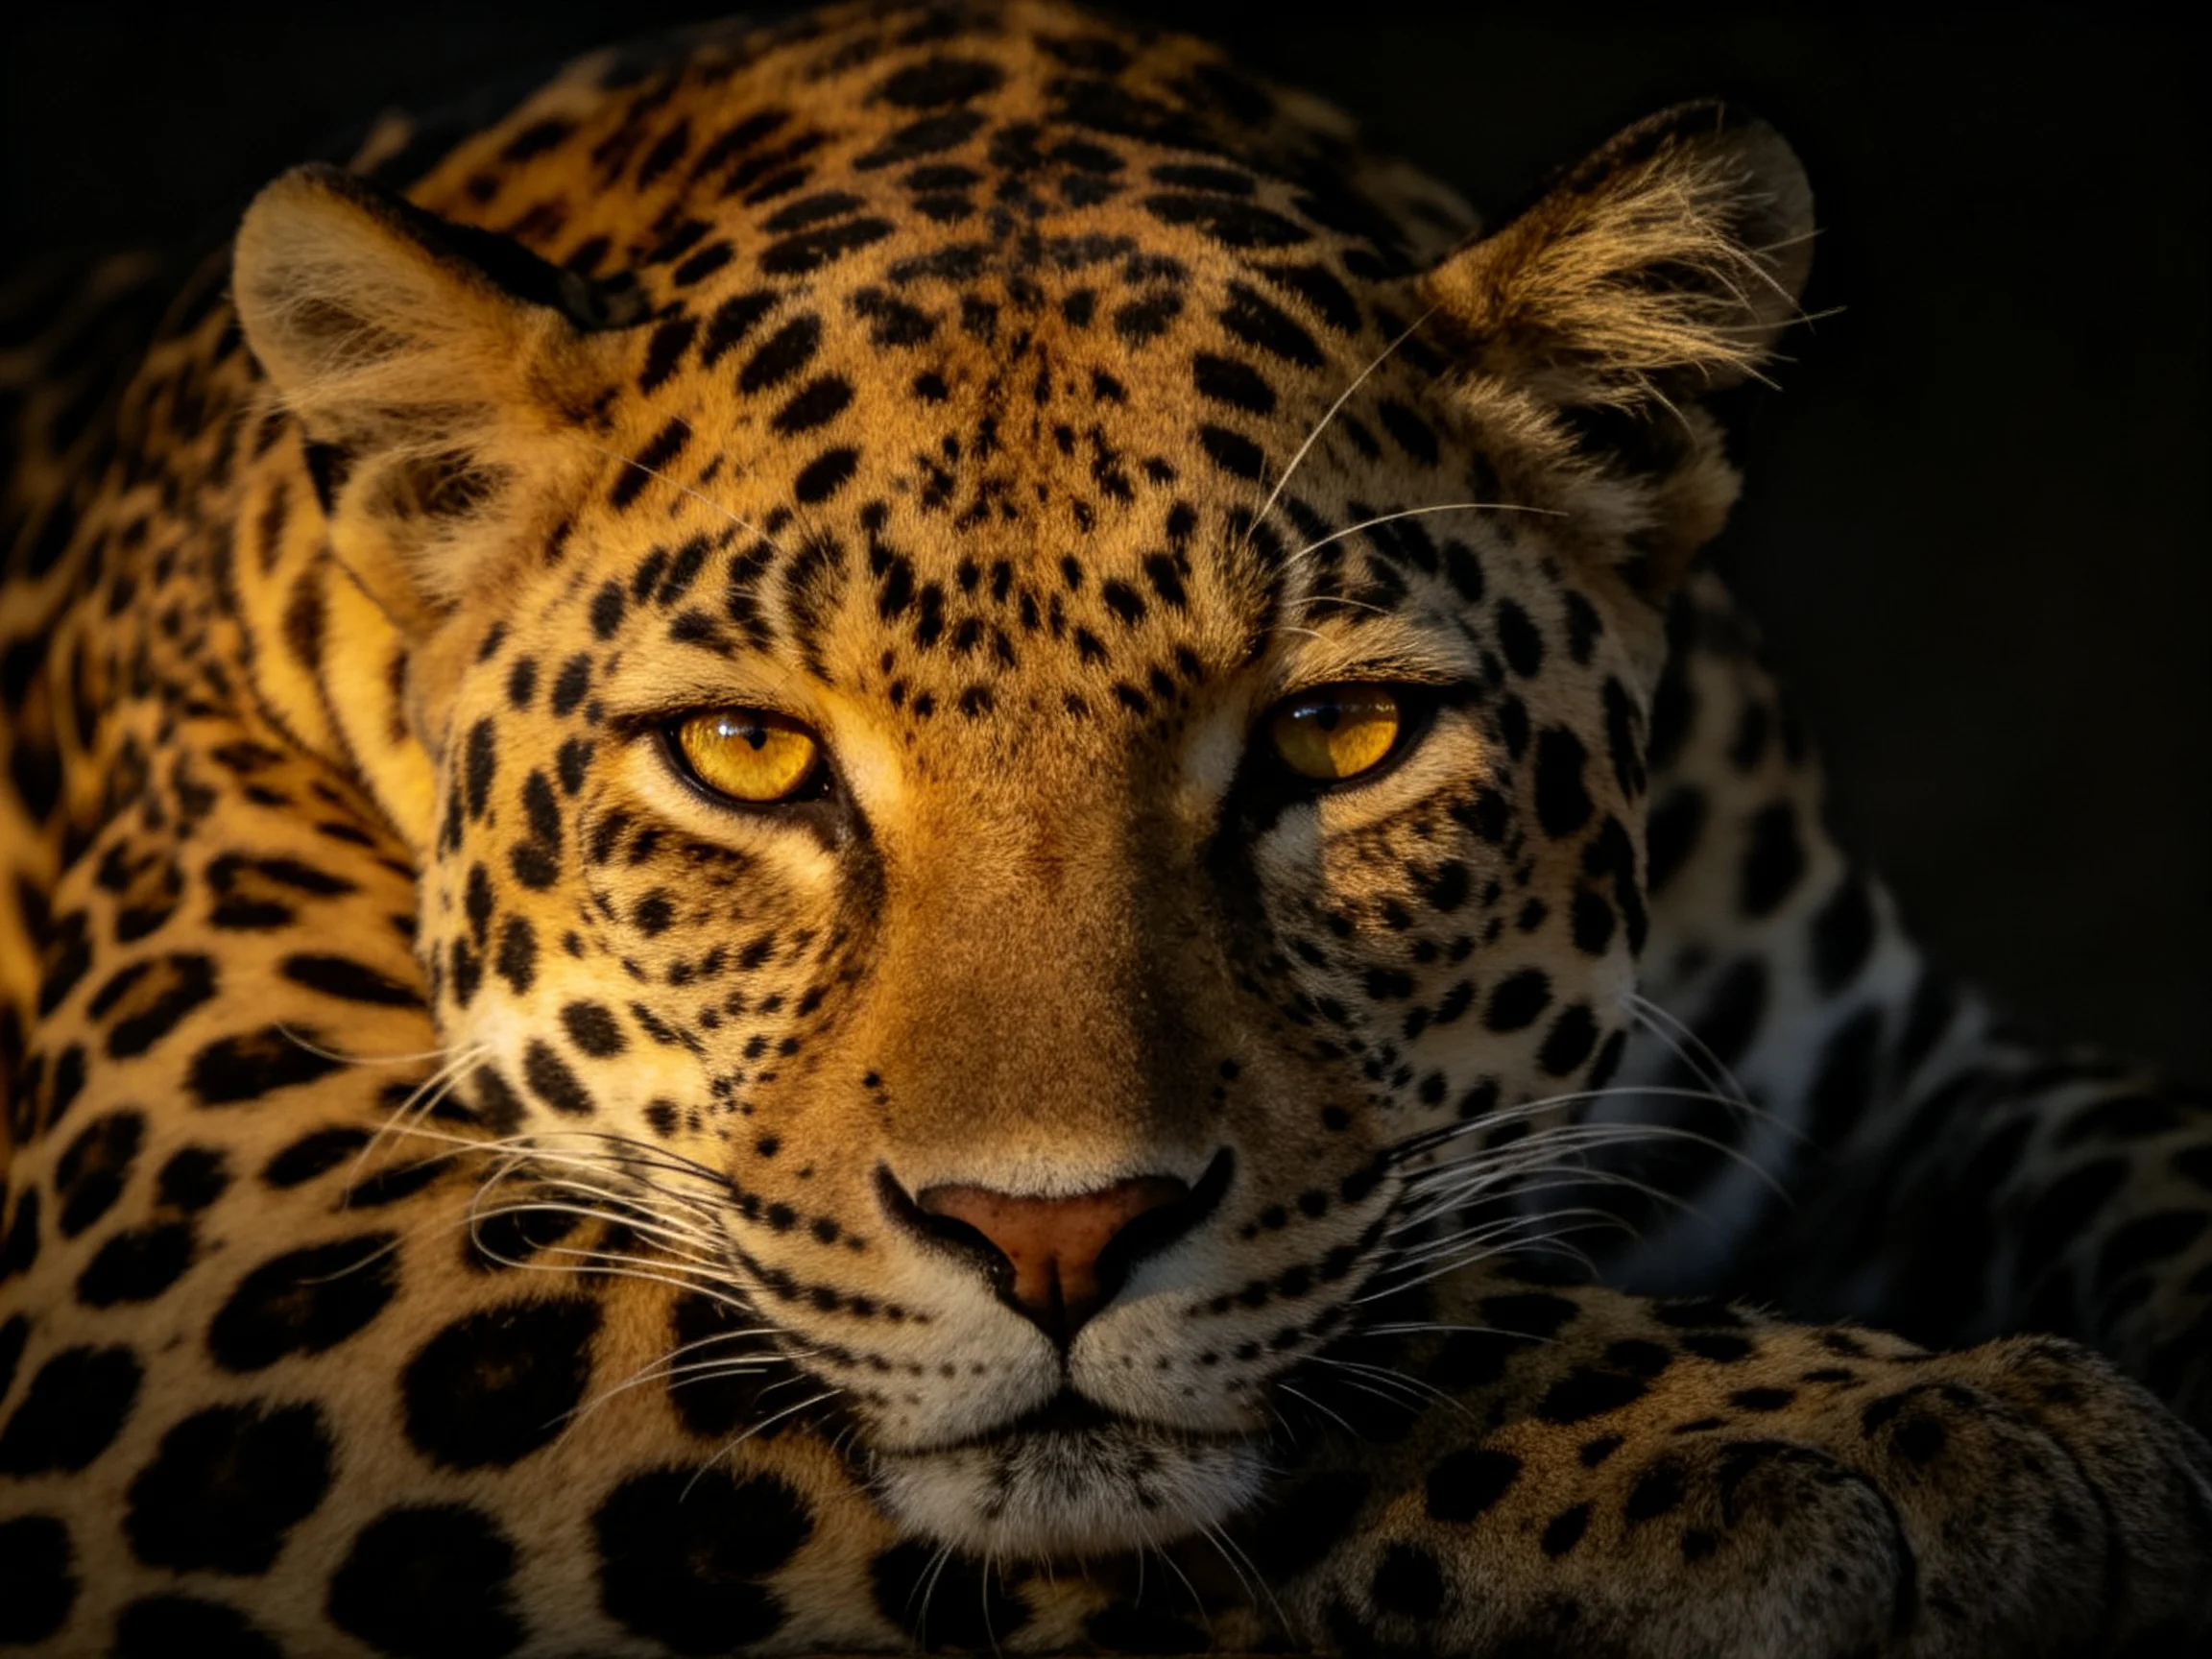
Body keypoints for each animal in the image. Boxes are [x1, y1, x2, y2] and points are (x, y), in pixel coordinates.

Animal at [2, 2, 2209, 1654]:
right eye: (743, 756)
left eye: (1337, 736)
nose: (1050, 1239)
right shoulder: (227, 1252)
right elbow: (1377, 1343)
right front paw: (1914, 1435)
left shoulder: (1877, 1076)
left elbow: (2157, 1151)